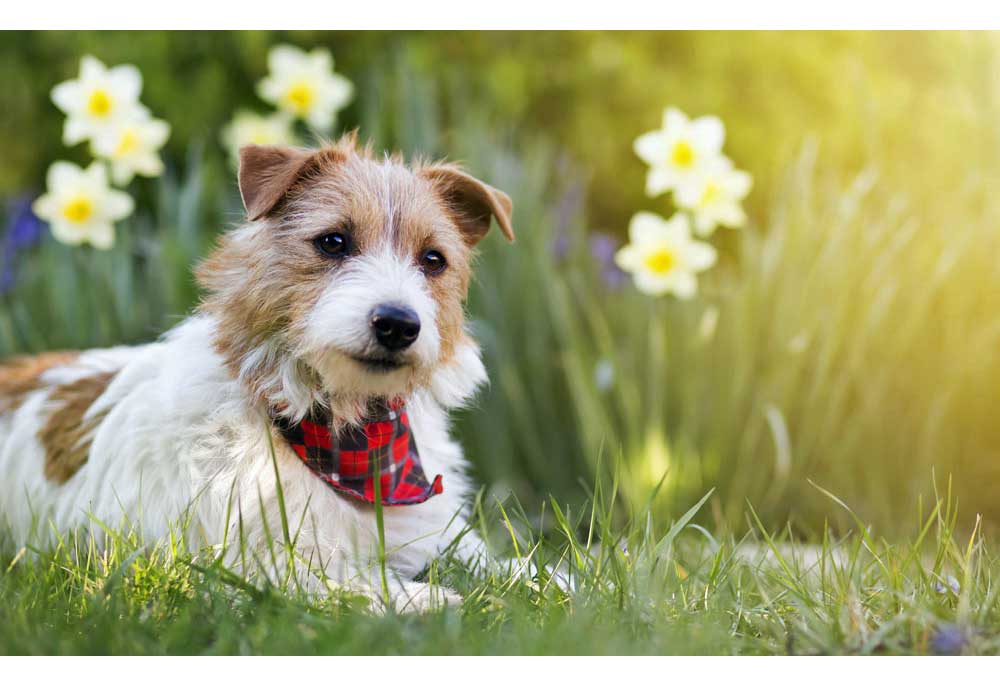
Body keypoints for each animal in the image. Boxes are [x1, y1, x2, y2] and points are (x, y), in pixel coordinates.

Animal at [0, 134, 516, 612]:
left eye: (433, 260)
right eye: (333, 241)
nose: (397, 323)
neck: (343, 433)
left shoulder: (432, 526)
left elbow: (496, 563)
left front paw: (528, 579)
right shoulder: (253, 566)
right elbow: (365, 587)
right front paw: (446, 600)